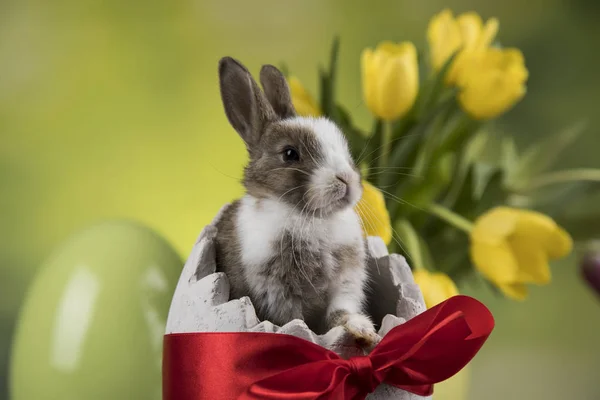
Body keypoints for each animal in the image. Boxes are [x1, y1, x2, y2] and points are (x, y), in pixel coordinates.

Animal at [213, 56, 378, 346]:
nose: (346, 179)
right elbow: (293, 321)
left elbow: (341, 311)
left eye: (343, 146)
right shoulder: (275, 290)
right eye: (290, 154)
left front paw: (364, 331)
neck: (313, 217)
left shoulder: (346, 282)